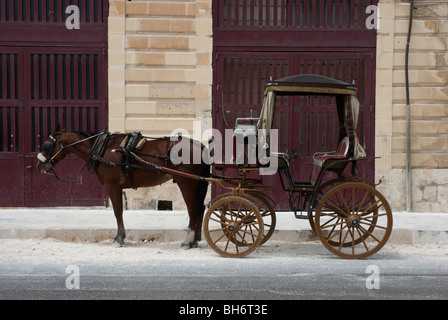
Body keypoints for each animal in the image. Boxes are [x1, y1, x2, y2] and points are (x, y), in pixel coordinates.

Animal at [36, 124, 209, 248]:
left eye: (47, 145)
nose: (39, 165)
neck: (102, 148)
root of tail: (200, 146)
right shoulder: (117, 188)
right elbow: (119, 212)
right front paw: (121, 237)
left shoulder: (112, 186)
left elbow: (117, 211)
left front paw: (119, 238)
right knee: (200, 208)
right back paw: (194, 240)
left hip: (187, 183)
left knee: (193, 210)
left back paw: (188, 240)